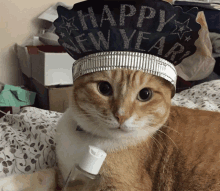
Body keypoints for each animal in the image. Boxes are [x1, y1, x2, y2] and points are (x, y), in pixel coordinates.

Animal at [0, 69, 220, 190]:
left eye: (145, 94)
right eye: (104, 88)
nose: (121, 115)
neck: (90, 139)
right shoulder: (62, 174)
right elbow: (40, 176)